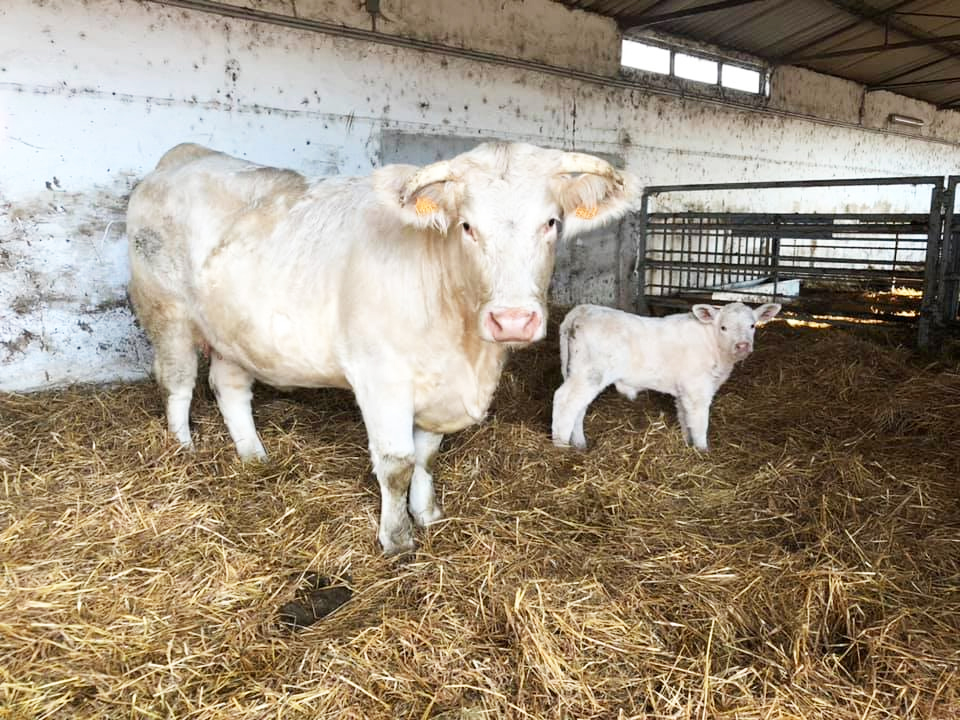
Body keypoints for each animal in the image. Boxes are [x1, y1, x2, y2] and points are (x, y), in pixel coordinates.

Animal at [125, 142, 636, 556]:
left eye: (550, 223)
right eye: (467, 226)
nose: (512, 319)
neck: (467, 354)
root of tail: (182, 157)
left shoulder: (437, 387)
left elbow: (426, 456)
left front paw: (427, 514)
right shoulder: (381, 378)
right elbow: (396, 464)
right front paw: (398, 539)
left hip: (234, 333)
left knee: (228, 388)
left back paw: (254, 457)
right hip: (167, 314)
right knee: (178, 384)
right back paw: (183, 450)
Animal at [552, 302, 784, 450]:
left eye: (752, 325)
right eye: (723, 327)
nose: (742, 345)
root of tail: (582, 310)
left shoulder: (683, 391)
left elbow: (684, 418)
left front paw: (687, 444)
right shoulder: (697, 390)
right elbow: (699, 422)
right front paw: (702, 450)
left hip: (579, 373)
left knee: (578, 408)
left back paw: (579, 444)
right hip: (589, 373)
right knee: (565, 401)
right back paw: (561, 444)